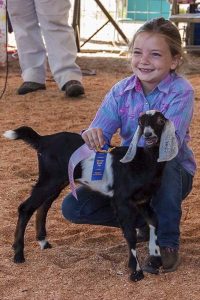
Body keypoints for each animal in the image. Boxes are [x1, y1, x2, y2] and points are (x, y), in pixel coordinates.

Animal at [3, 110, 178, 282]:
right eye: (141, 122)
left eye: (161, 121)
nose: (148, 135)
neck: (142, 161)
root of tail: (43, 140)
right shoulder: (121, 200)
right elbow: (130, 234)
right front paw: (136, 271)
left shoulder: (143, 200)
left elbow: (154, 221)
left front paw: (155, 257)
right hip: (49, 179)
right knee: (25, 208)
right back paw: (18, 254)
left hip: (58, 181)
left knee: (43, 206)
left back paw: (43, 242)